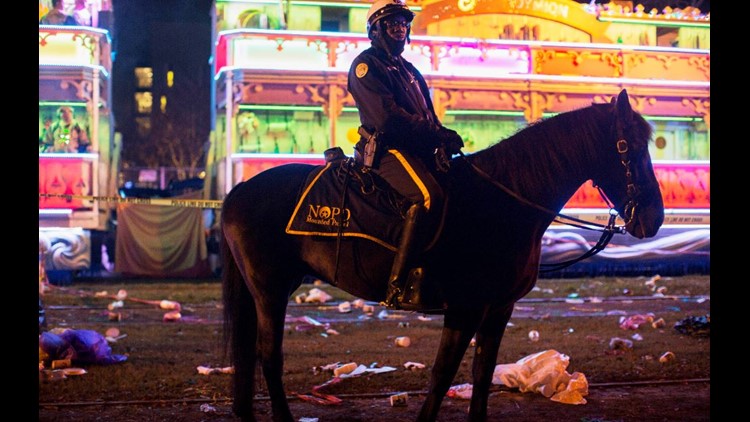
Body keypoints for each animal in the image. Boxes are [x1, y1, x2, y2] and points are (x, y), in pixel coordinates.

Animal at [220, 87, 668, 420]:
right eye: (628, 148)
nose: (654, 219)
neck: (502, 202)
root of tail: (237, 192)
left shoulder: (497, 308)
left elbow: (482, 374)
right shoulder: (464, 308)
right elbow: (442, 375)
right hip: (270, 291)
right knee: (268, 357)